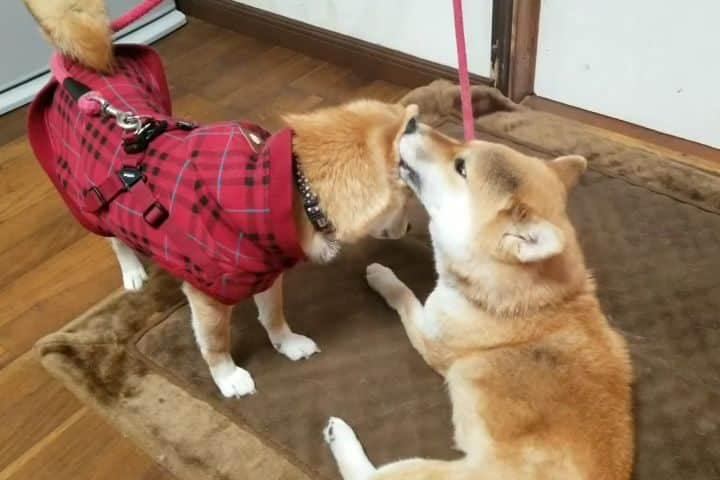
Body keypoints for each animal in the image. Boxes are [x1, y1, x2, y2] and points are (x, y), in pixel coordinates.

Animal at [23, 0, 416, 398]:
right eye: (407, 202)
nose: (411, 226)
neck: (292, 188)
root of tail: (81, 65)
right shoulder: (209, 298)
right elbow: (214, 342)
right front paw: (227, 377)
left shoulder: (266, 272)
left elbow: (273, 315)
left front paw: (287, 343)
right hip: (89, 201)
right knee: (115, 238)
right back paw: (132, 270)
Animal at [324, 127, 632, 480]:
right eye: (465, 143)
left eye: (461, 167)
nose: (413, 124)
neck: (542, 297)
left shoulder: (430, 333)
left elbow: (404, 296)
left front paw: (384, 278)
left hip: (425, 470)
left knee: (367, 475)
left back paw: (340, 435)